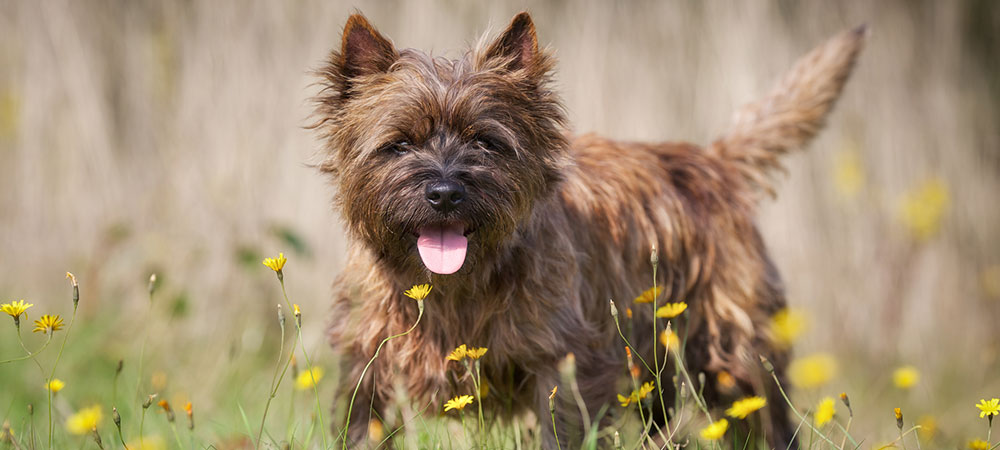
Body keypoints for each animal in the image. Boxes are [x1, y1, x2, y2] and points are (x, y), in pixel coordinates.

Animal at [316, 11, 864, 450]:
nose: (445, 192)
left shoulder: (564, 365)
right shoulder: (368, 365)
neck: (453, 288)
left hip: (733, 356)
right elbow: (362, 425)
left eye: (486, 142)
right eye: (400, 143)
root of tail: (713, 161)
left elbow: (560, 429)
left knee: (763, 418)